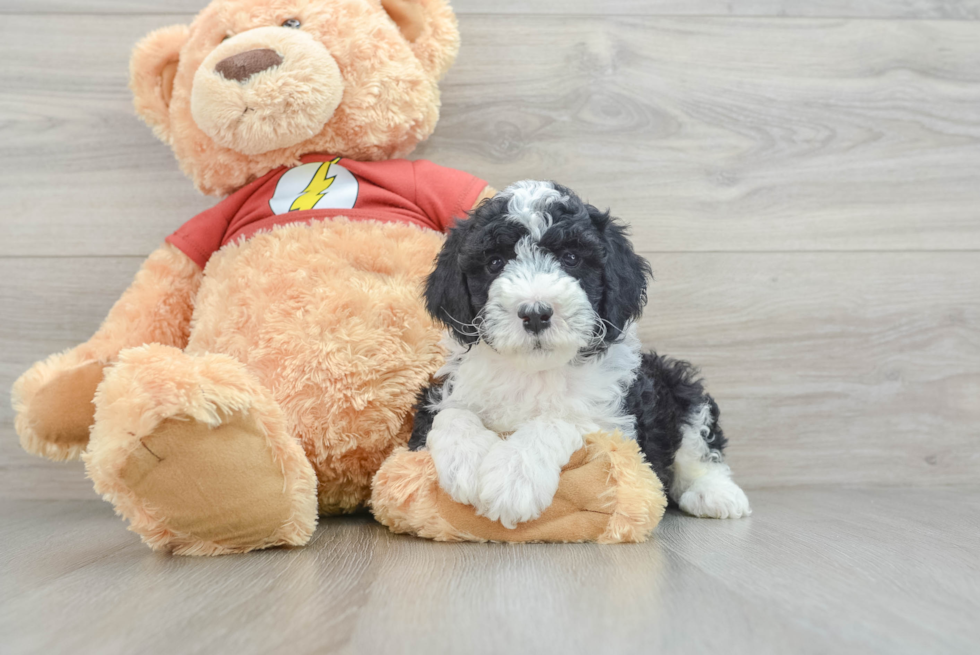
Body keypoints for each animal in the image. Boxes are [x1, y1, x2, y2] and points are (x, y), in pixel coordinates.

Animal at [406, 182, 752, 532]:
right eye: (495, 262)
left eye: (571, 258)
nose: (535, 313)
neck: (534, 371)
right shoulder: (440, 392)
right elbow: (451, 414)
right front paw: (465, 462)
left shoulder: (614, 426)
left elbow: (558, 420)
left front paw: (514, 476)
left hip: (678, 385)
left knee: (700, 445)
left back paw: (715, 494)